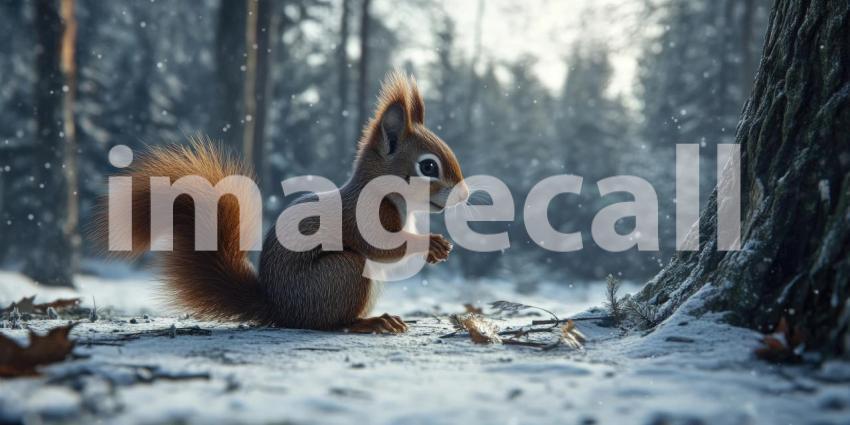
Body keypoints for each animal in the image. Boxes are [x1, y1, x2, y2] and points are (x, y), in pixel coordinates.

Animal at [100, 71, 469, 334]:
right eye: (428, 167)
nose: (464, 195)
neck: (386, 194)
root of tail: (280, 309)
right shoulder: (363, 216)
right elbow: (384, 247)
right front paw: (431, 245)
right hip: (344, 273)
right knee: (329, 324)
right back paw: (369, 323)